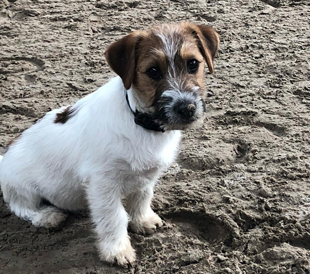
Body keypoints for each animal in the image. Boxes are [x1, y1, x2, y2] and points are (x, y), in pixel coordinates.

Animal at [0, 22, 219, 266]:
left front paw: (142, 220)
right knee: (21, 207)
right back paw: (47, 216)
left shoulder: (145, 174)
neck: (141, 122)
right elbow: (114, 217)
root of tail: (4, 157)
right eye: (153, 71)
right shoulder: (103, 184)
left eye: (193, 64)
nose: (187, 108)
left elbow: (142, 198)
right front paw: (117, 250)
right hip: (22, 188)